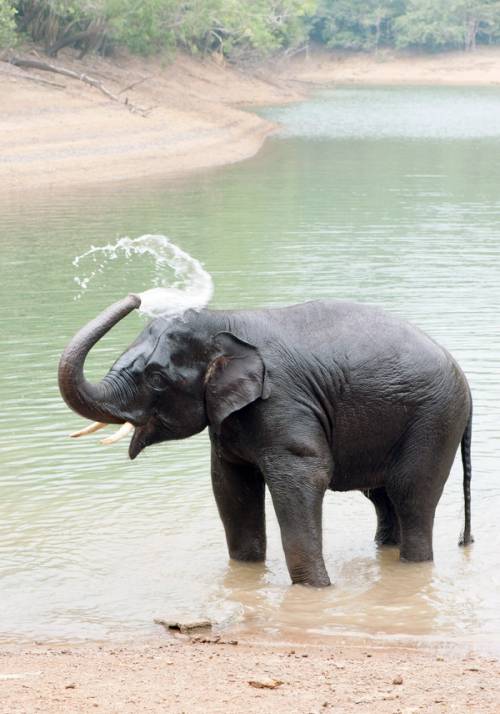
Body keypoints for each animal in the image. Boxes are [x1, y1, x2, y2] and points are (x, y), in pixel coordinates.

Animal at [58, 294, 473, 587]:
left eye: (156, 378)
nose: (137, 297)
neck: (225, 319)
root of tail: (464, 380)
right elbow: (230, 487)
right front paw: (246, 573)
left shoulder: (284, 402)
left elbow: (305, 478)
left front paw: (315, 590)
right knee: (382, 497)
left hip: (434, 419)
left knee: (411, 495)